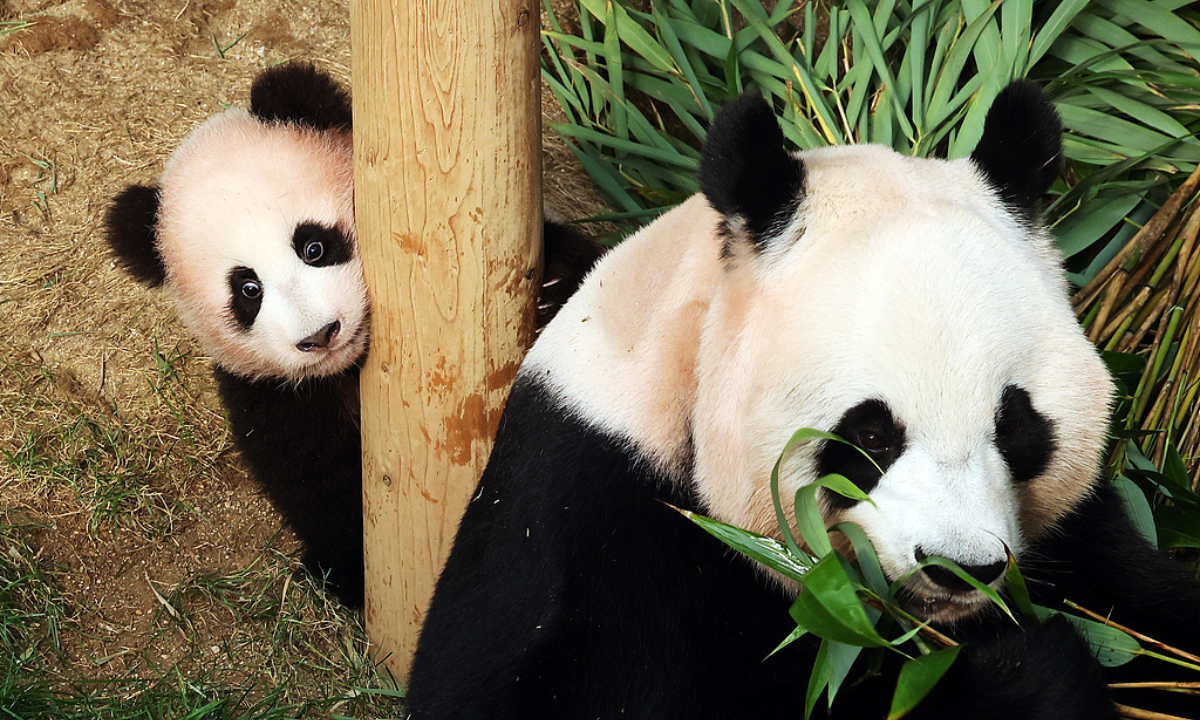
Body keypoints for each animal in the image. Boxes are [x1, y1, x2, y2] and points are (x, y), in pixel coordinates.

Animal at [104, 62, 603, 609]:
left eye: (314, 246)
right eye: (248, 290)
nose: (320, 334)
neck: (348, 369)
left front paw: (551, 289)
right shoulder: (272, 392)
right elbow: (314, 479)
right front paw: (351, 574)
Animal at [404, 82, 1200, 719]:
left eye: (1015, 426)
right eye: (871, 436)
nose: (958, 566)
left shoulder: (1084, 533)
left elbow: (1150, 600)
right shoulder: (588, 513)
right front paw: (1028, 673)